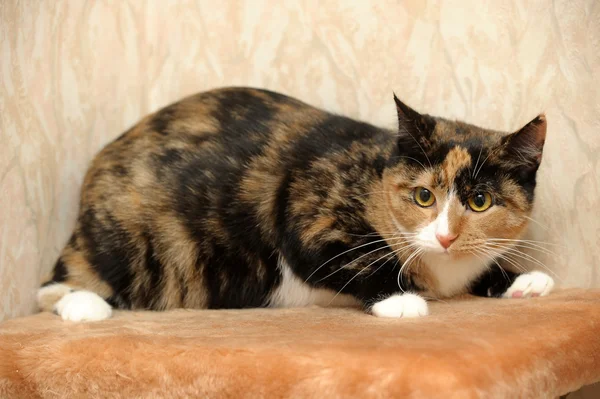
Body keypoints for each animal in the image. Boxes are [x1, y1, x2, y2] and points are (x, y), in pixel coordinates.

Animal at [36, 87, 552, 322]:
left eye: (480, 201)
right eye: (423, 195)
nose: (445, 236)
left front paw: (522, 280)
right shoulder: (306, 209)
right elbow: (354, 258)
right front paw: (400, 298)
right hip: (132, 239)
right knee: (50, 288)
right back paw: (83, 305)